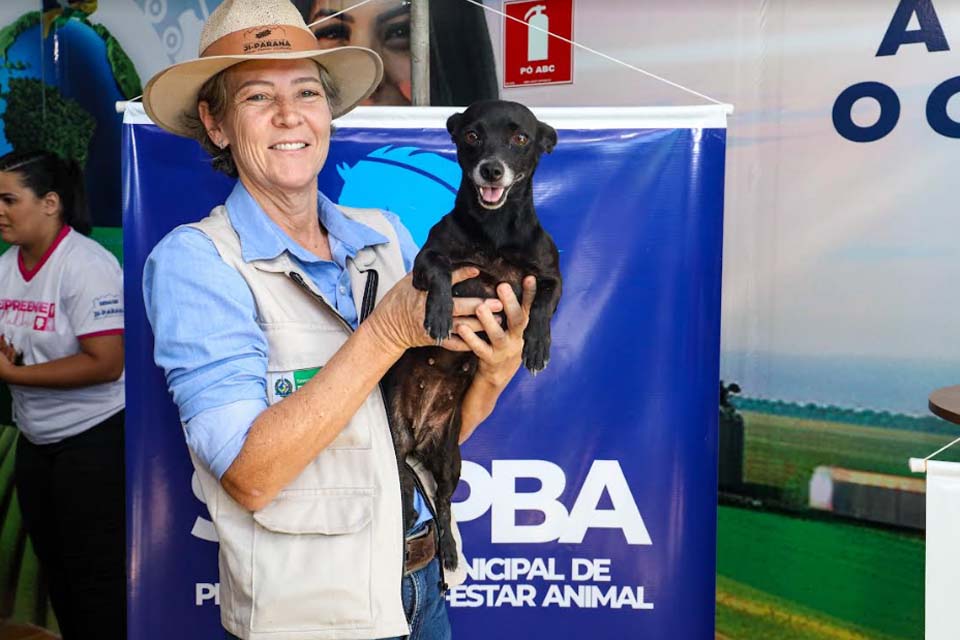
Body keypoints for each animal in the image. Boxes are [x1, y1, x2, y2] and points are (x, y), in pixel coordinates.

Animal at [382, 102, 564, 572]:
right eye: (472, 136)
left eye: (520, 138)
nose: (492, 169)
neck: (495, 230)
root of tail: (418, 438)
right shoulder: (428, 258)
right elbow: (442, 273)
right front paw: (439, 314)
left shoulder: (550, 277)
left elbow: (541, 307)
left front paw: (536, 347)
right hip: (395, 445)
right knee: (405, 494)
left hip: (450, 461)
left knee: (444, 505)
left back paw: (447, 549)